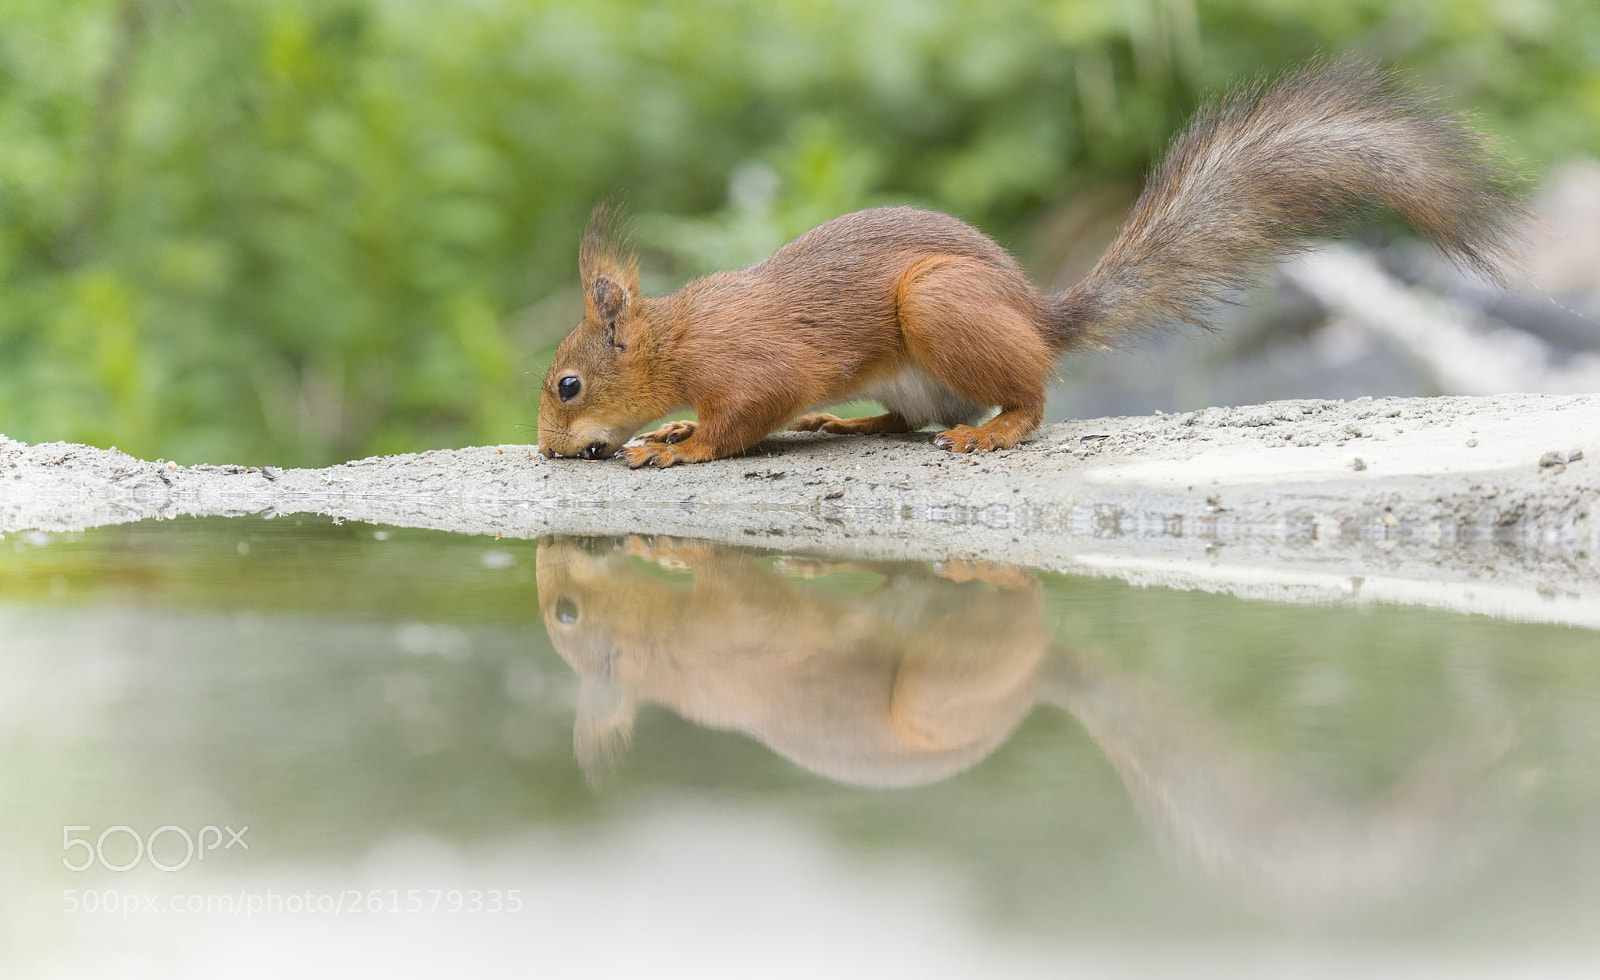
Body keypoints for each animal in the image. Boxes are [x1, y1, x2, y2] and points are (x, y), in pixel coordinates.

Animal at [537, 60, 1523, 467]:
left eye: (568, 386)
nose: (547, 449)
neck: (679, 339)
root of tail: (1040, 317)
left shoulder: (752, 364)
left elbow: (748, 413)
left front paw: (682, 444)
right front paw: (669, 428)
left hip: (940, 310)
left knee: (1027, 399)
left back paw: (996, 432)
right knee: (914, 417)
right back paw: (847, 422)